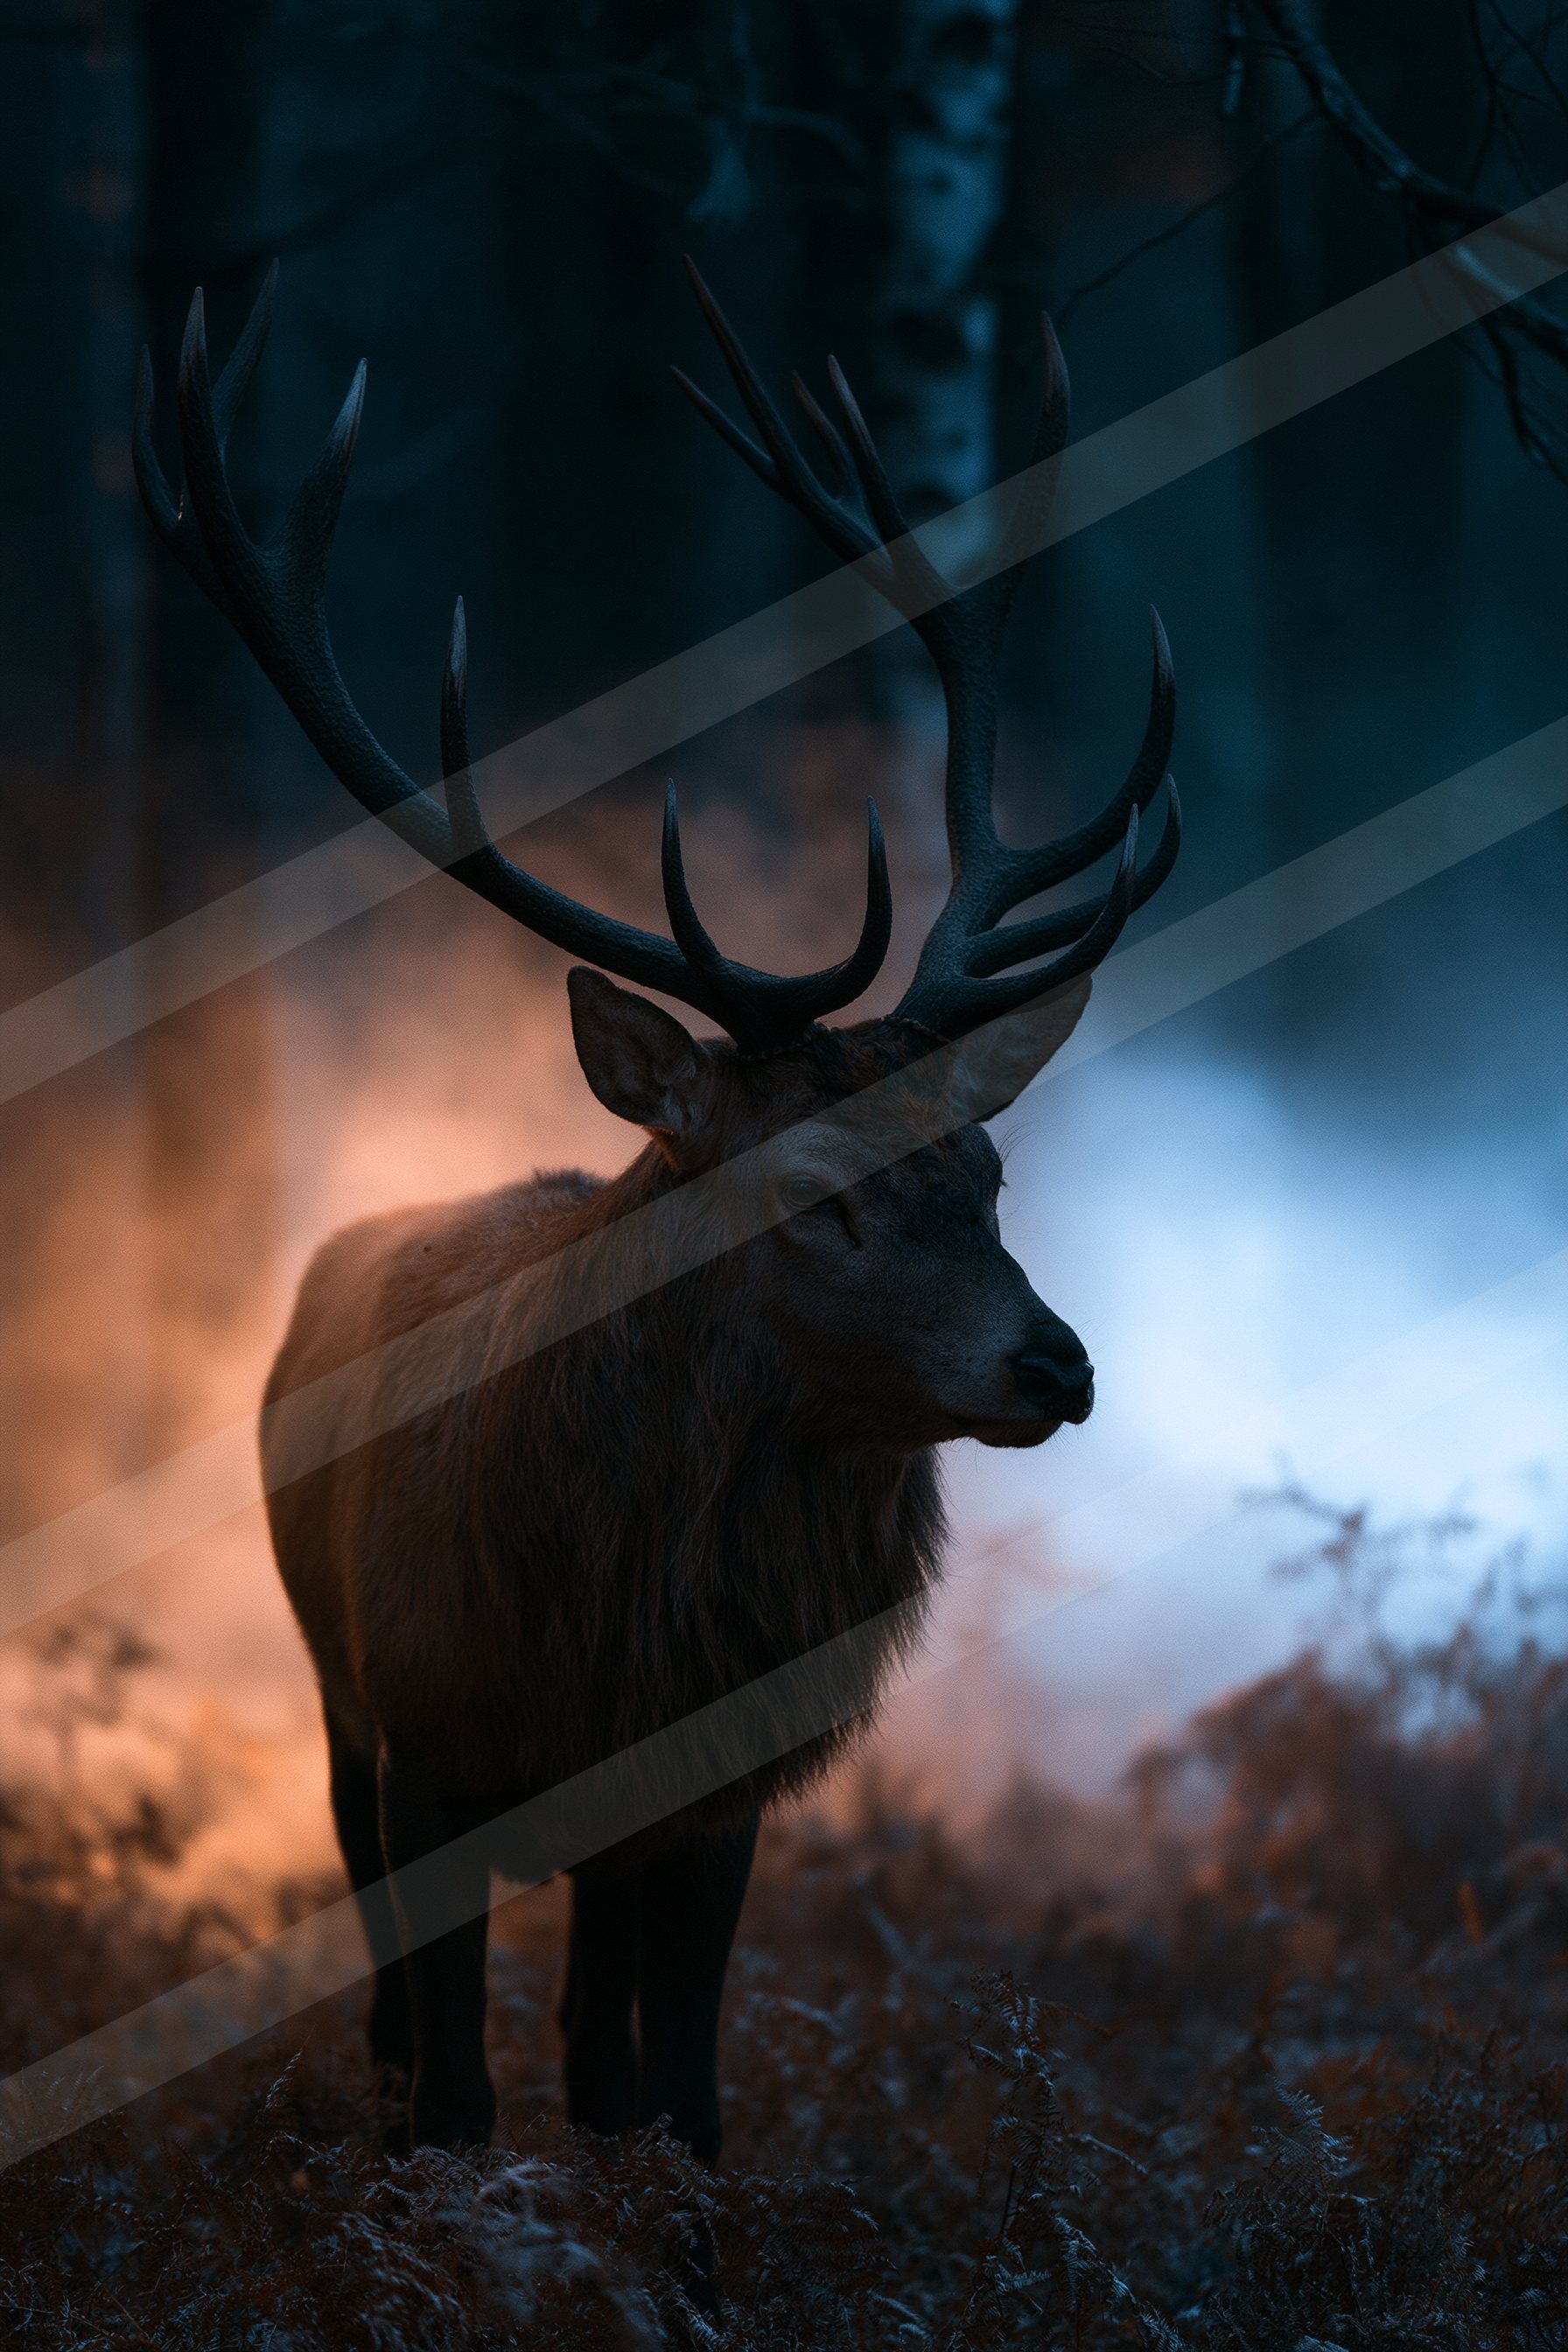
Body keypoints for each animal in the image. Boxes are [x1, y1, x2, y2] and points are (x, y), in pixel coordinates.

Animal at [132, 261, 1178, 2169]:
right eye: (812, 1192)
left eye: (989, 1168)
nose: (1053, 1366)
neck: (595, 1651)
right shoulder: (427, 1742)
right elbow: (450, 2096)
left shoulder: (714, 1789)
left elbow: (680, 2101)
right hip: (330, 1694)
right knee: (397, 1997)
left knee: (597, 2038)